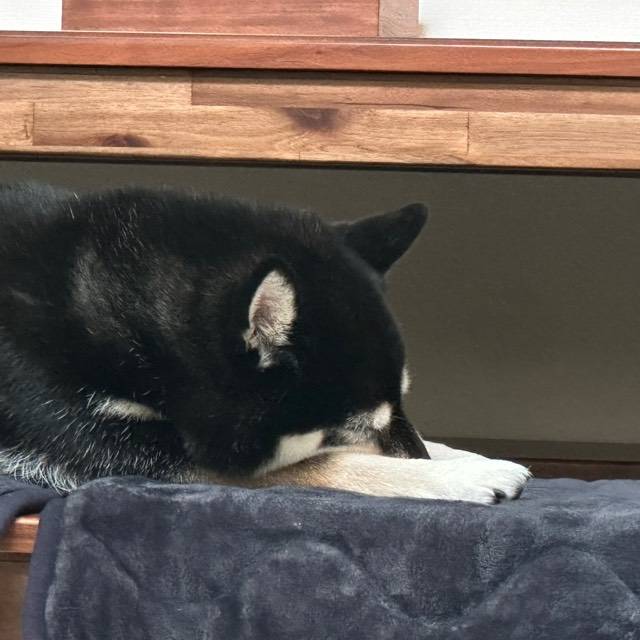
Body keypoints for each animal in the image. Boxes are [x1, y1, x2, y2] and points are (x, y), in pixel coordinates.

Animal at [0, 183, 529, 502]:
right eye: (354, 427)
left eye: (402, 402)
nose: (421, 461)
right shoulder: (118, 452)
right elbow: (324, 464)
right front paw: (457, 476)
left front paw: (462, 456)